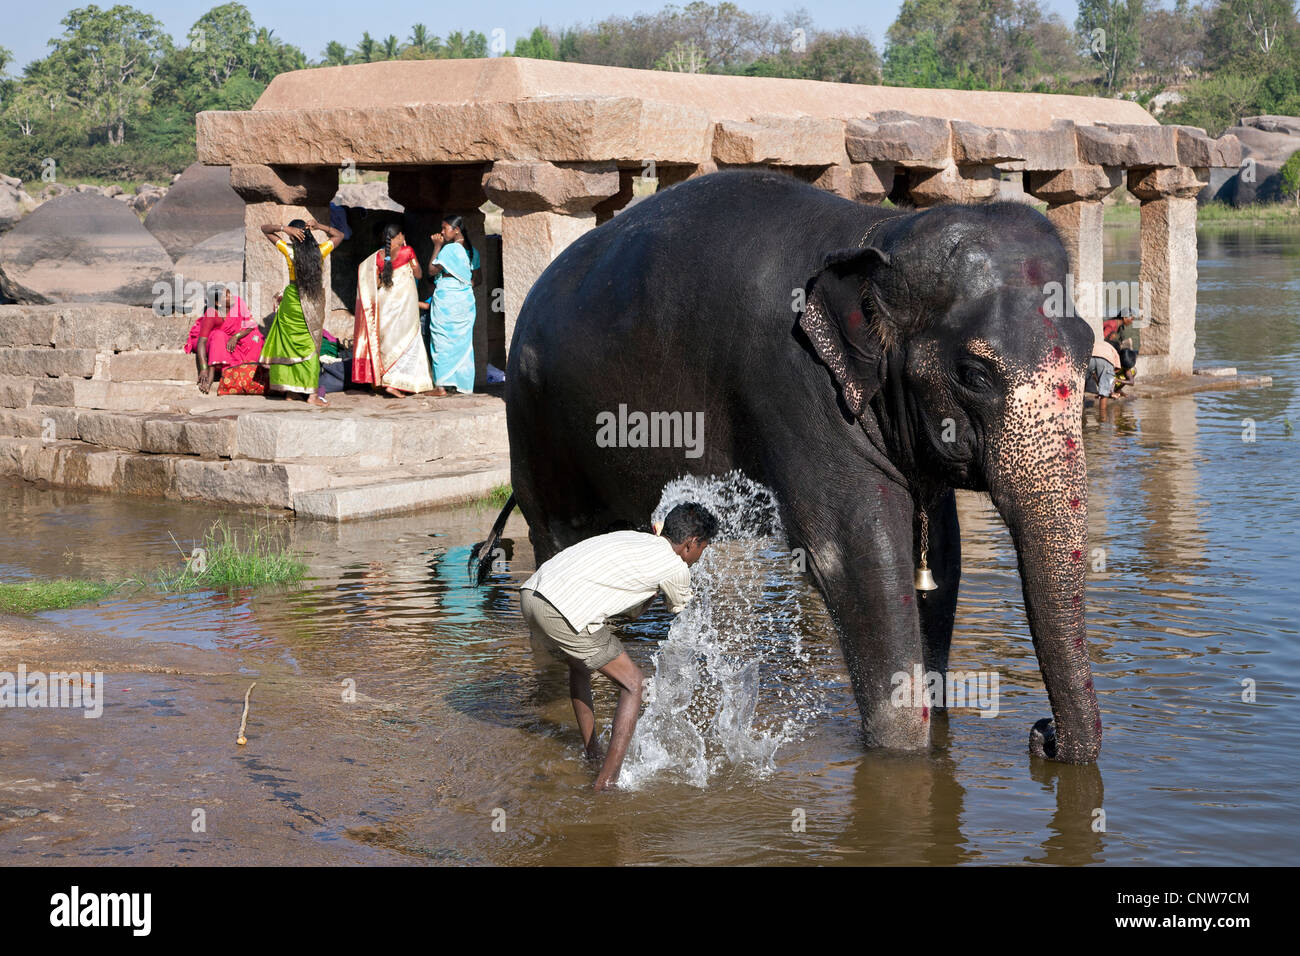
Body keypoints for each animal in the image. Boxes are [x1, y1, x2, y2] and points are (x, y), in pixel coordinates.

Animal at [473, 171, 1102, 764]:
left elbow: (942, 556)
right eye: (974, 373)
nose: (1042, 736)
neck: (876, 234)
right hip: (532, 420)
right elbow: (858, 557)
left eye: (1089, 349)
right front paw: (903, 753)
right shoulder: (794, 391)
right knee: (557, 535)